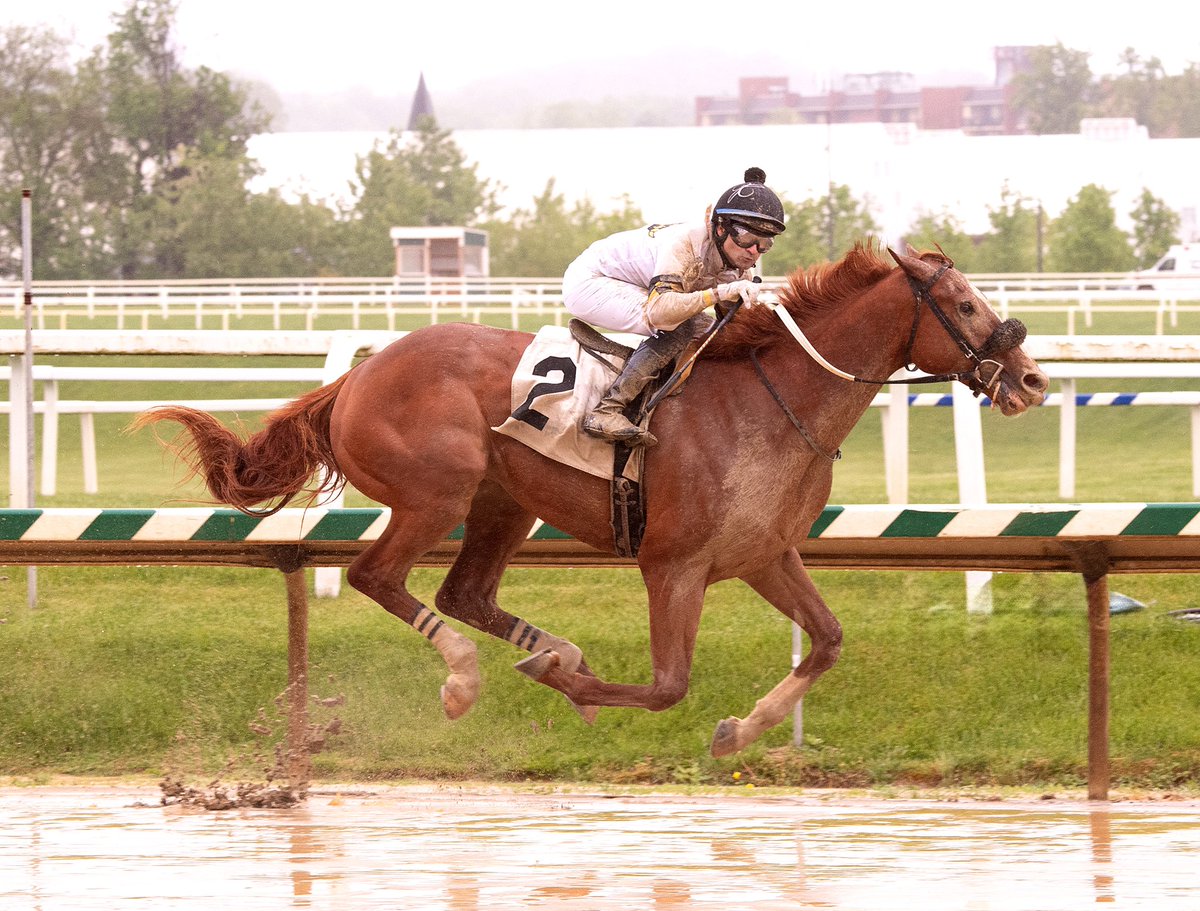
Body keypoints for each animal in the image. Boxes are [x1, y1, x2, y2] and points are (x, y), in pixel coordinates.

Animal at [136, 240, 1046, 753]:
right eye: (964, 303)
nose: (1031, 379)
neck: (771, 400)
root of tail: (357, 375)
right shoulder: (672, 565)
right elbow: (668, 684)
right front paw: (576, 688)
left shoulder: (763, 552)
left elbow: (825, 641)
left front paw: (739, 729)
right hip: (438, 493)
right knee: (377, 578)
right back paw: (467, 678)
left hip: (505, 501)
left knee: (463, 591)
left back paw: (552, 648)